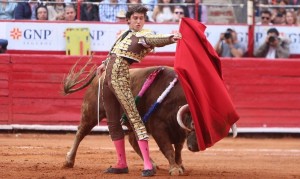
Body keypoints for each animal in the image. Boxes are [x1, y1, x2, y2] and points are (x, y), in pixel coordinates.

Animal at [62, 60, 237, 175]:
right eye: (194, 124)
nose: (195, 147)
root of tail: (101, 75)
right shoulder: (159, 128)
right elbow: (167, 148)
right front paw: (174, 169)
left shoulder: (178, 131)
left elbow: (178, 150)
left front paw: (180, 166)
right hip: (91, 113)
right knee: (80, 133)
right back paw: (68, 161)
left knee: (133, 140)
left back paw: (151, 164)